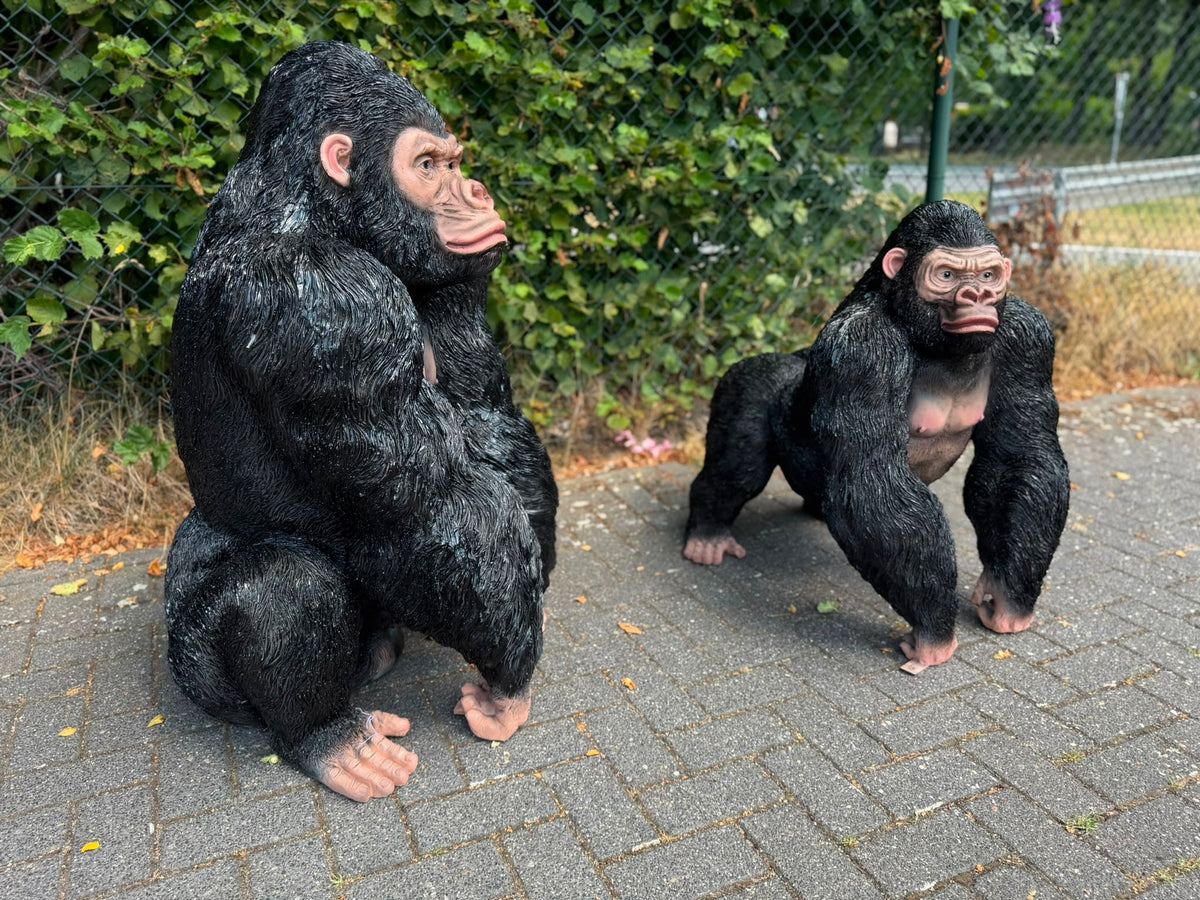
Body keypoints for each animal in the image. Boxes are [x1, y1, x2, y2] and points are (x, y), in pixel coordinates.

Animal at [165, 41, 557, 802]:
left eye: (454, 162)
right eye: (428, 166)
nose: (475, 191)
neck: (317, 211)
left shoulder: (445, 294)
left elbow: (487, 425)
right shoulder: (332, 305)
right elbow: (434, 509)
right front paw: (508, 688)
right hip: (191, 662)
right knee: (286, 581)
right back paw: (331, 738)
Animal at [684, 200, 1069, 668]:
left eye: (988, 276)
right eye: (946, 276)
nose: (976, 296)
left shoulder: (1027, 337)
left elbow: (1019, 457)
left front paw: (1005, 595)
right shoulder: (864, 353)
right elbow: (874, 480)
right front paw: (933, 631)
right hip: (743, 383)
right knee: (738, 465)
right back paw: (707, 533)